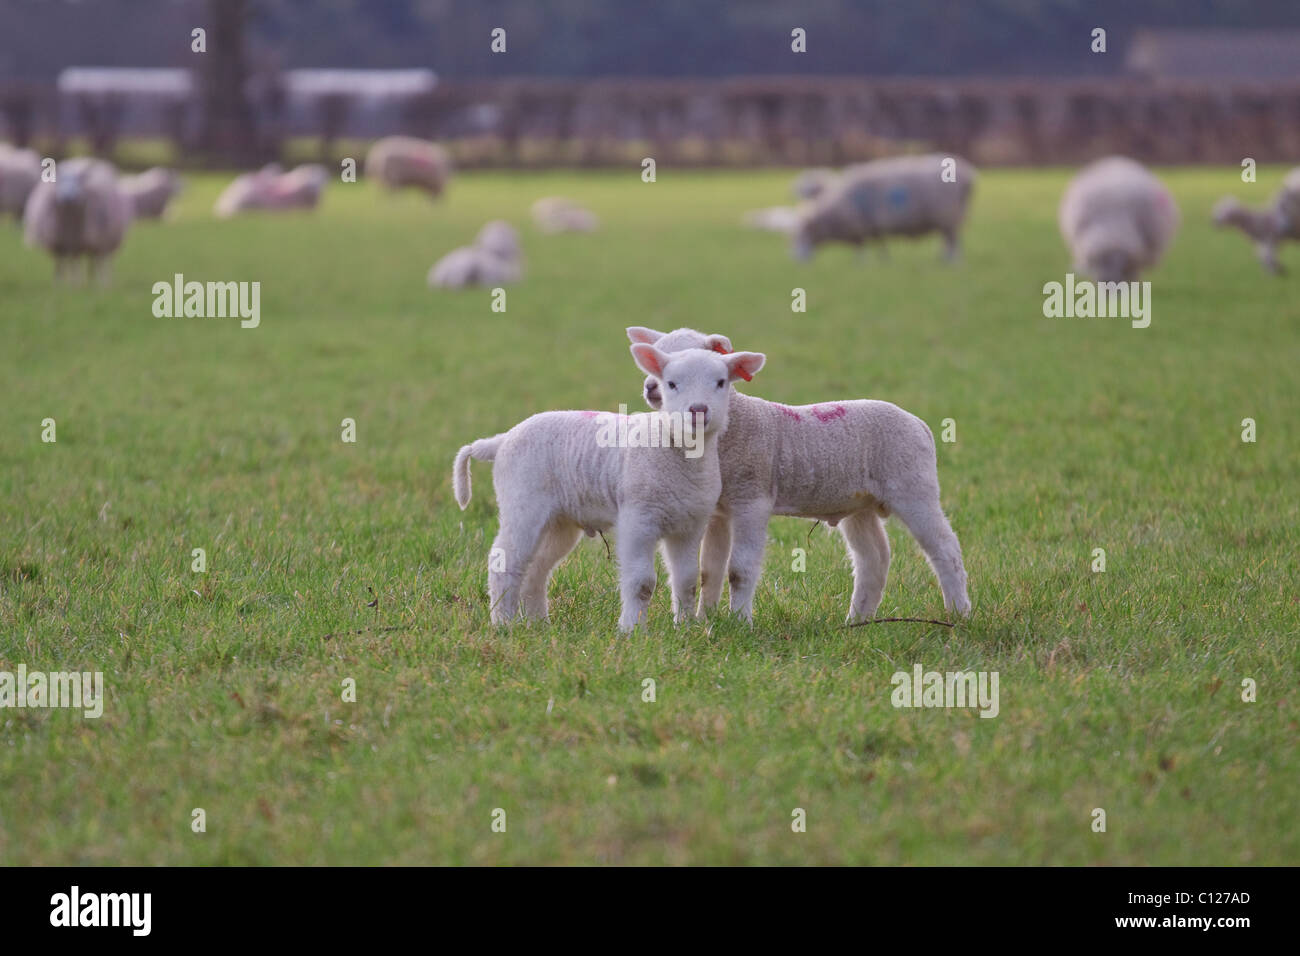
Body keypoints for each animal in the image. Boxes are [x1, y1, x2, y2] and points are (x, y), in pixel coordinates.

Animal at [454, 343, 764, 634]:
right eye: (671, 384)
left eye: (721, 382)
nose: (698, 411)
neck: (676, 449)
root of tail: (501, 440)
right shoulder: (637, 518)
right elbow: (641, 582)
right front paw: (632, 631)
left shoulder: (690, 525)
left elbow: (687, 580)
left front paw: (686, 627)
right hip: (522, 500)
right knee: (504, 560)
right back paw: (503, 623)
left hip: (559, 521)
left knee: (537, 569)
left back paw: (539, 623)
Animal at [624, 325, 972, 624]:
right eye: (661, 365)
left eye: (717, 378)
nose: (651, 388)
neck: (734, 425)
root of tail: (920, 424)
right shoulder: (718, 510)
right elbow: (710, 569)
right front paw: (705, 620)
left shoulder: (753, 497)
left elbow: (739, 569)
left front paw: (739, 623)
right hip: (859, 502)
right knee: (874, 558)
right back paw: (856, 621)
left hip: (913, 485)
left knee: (946, 549)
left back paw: (959, 613)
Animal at [785, 155, 977, 264]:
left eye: (800, 236)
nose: (796, 261)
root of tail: (968, 174)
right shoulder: (873, 227)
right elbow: (879, 244)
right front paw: (883, 260)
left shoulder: (862, 226)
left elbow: (861, 246)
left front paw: (862, 263)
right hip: (949, 219)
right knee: (949, 240)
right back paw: (943, 258)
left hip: (949, 216)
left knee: (953, 242)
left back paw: (951, 262)